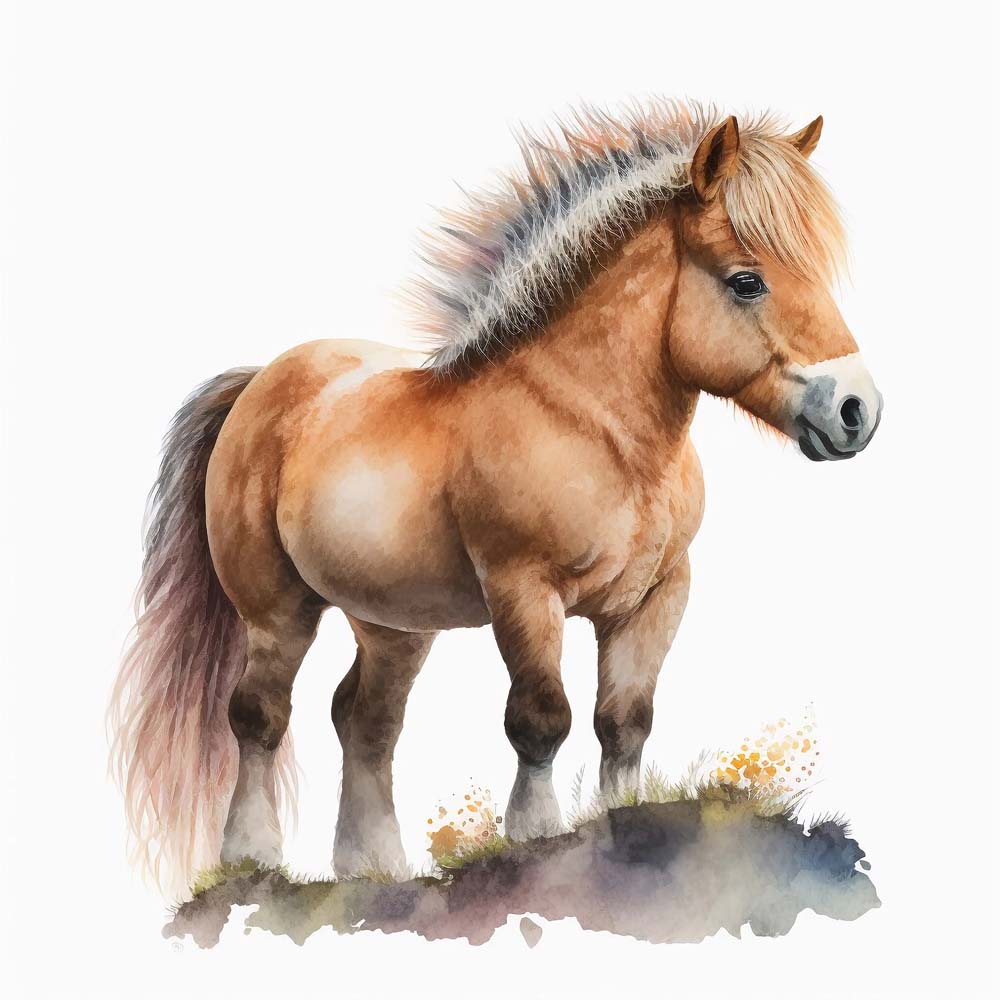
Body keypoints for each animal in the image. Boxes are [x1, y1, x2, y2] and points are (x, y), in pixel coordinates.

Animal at [109, 100, 882, 894]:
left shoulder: (655, 597)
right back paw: (252, 857)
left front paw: (625, 827)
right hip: (278, 611)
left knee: (365, 721)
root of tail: (262, 382)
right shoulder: (523, 590)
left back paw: (373, 868)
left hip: (393, 625)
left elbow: (624, 722)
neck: (590, 423)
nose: (856, 410)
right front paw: (535, 835)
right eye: (746, 281)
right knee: (260, 715)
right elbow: (541, 718)